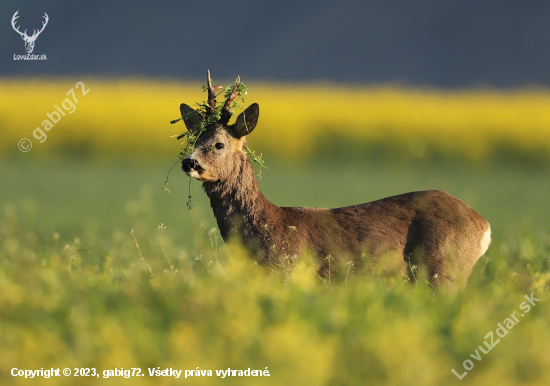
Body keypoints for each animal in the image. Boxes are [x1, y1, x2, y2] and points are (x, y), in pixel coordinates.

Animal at [180, 71, 492, 288]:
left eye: (218, 144)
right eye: (193, 140)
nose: (189, 162)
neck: (268, 226)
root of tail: (484, 226)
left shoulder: (286, 272)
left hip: (444, 270)